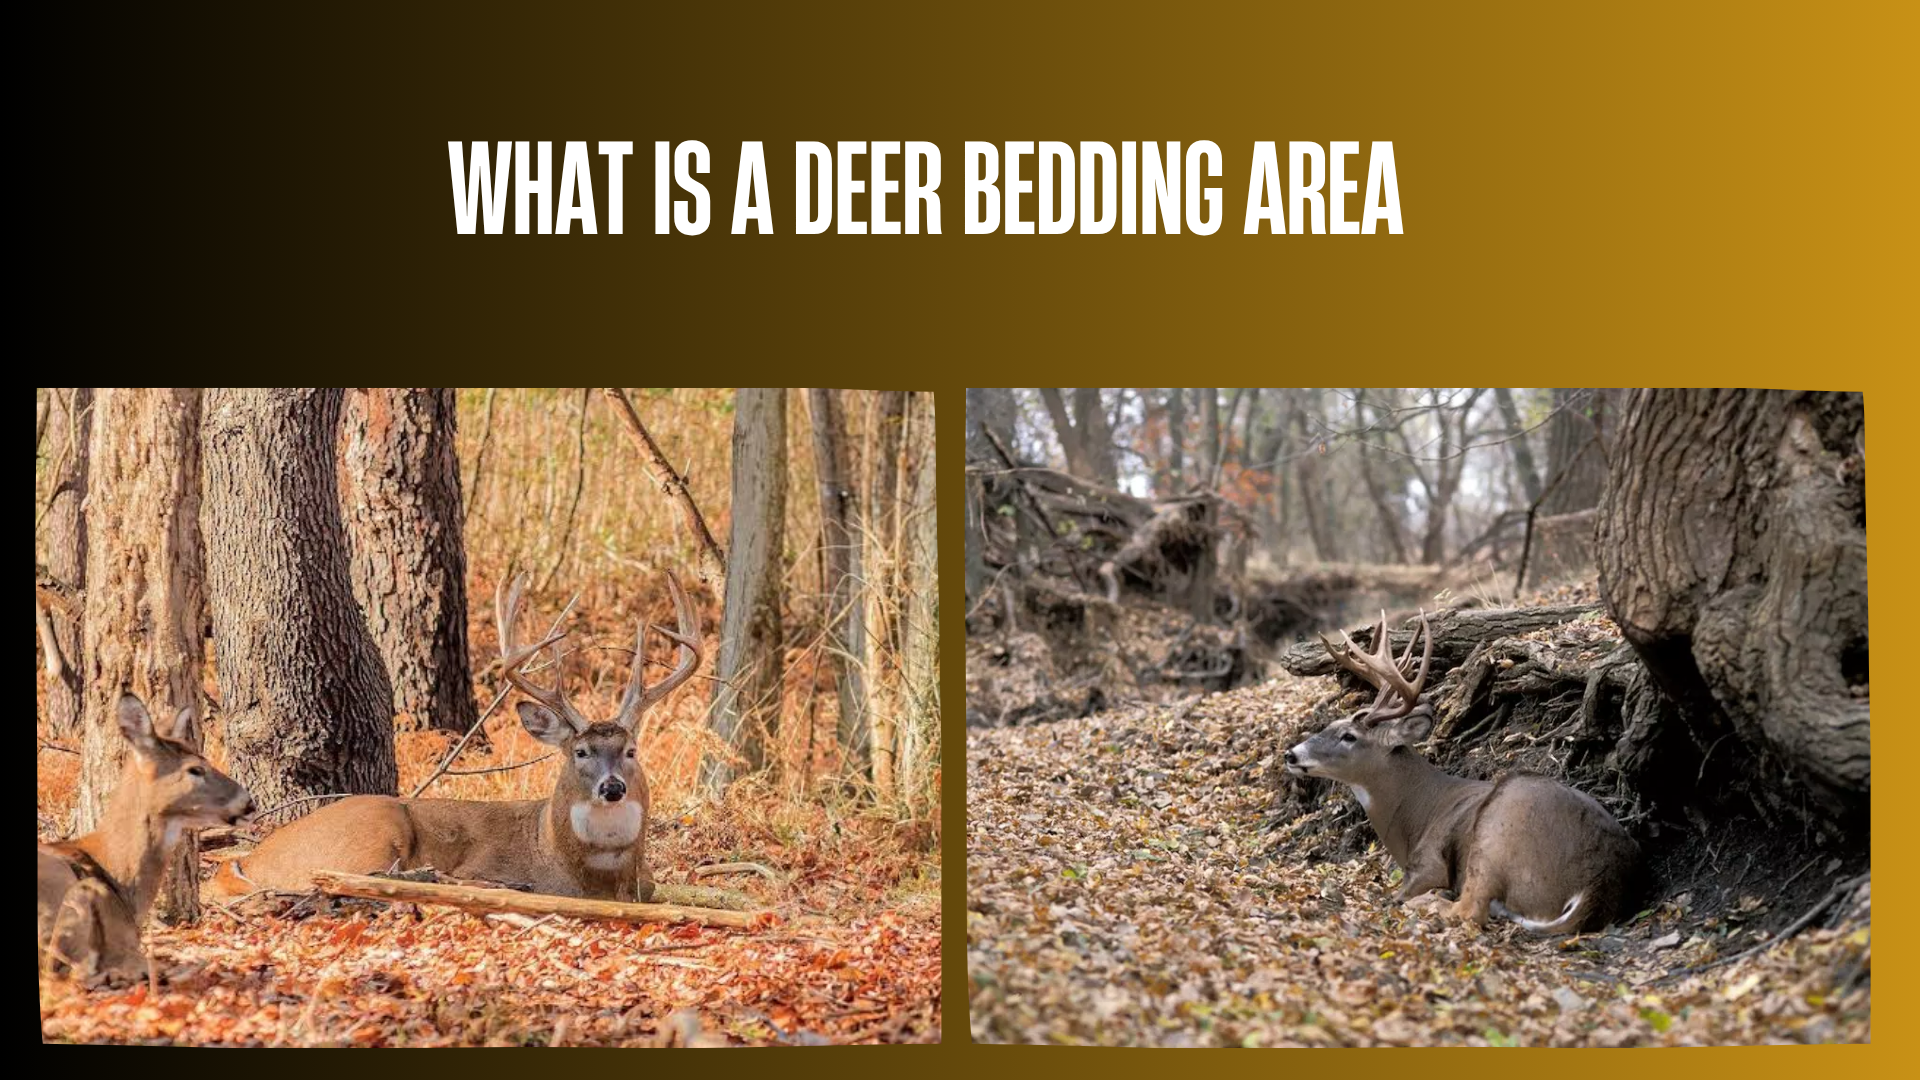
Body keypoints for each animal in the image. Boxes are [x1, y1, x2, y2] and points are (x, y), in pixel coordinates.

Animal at [1282, 610, 1638, 934]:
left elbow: (1398, 894)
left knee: (1469, 909)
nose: (1291, 754)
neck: (1414, 815)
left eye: (1349, 736)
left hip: (1497, 833)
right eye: (1330, 725)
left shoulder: (1429, 865)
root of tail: (1595, 886)